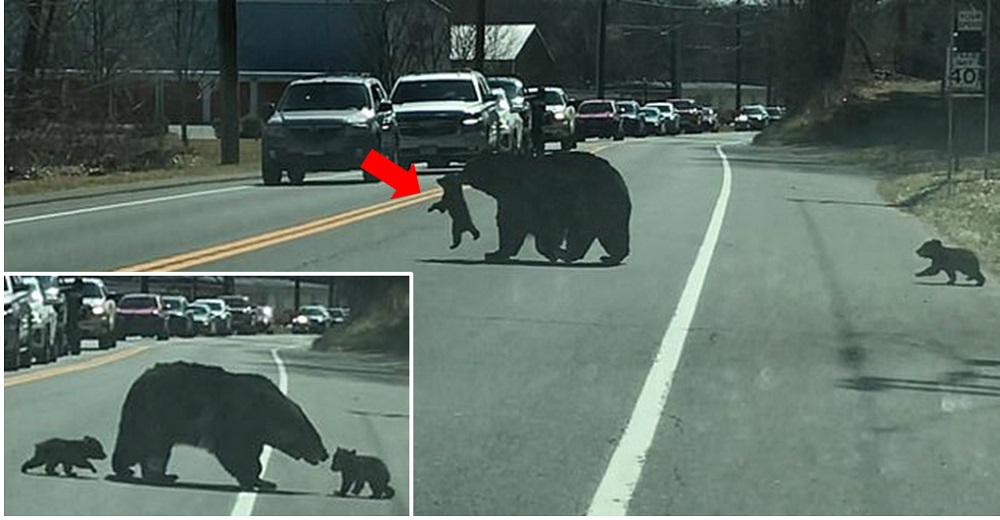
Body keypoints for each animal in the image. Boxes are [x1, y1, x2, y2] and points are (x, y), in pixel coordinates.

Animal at [110, 364, 328, 490]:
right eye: (314, 437)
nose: (325, 454)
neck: (267, 413)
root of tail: (138, 381)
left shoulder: (254, 432)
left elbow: (251, 453)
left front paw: (263, 480)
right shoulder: (238, 418)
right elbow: (235, 452)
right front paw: (253, 479)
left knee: (154, 450)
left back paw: (162, 475)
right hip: (156, 413)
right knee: (143, 444)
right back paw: (132, 471)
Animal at [458, 150, 628, 264]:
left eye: (468, 166)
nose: (460, 174)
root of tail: (618, 178)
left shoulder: (524, 196)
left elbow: (514, 224)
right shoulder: (511, 198)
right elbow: (512, 223)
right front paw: (496, 253)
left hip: (592, 202)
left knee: (587, 232)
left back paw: (569, 254)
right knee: (610, 233)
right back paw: (611, 256)